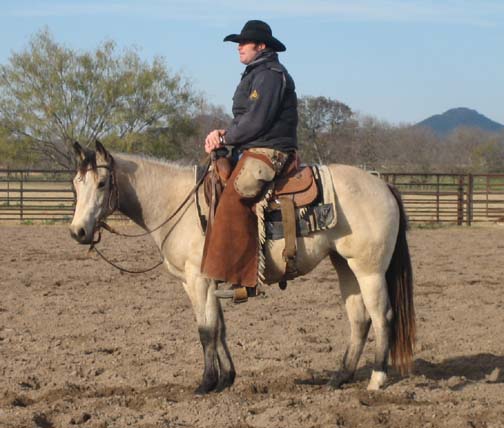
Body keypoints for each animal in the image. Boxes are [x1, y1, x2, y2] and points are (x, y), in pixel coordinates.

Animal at [69, 142, 416, 392]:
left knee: (382, 316)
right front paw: (227, 378)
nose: (78, 232)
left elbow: (206, 330)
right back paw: (340, 377)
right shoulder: (199, 282)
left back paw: (377, 379)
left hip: (369, 270)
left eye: (102, 183)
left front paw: (207, 383)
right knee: (359, 319)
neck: (176, 203)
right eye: (76, 184)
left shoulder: (199, 280)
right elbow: (219, 328)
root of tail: (383, 186)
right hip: (344, 265)